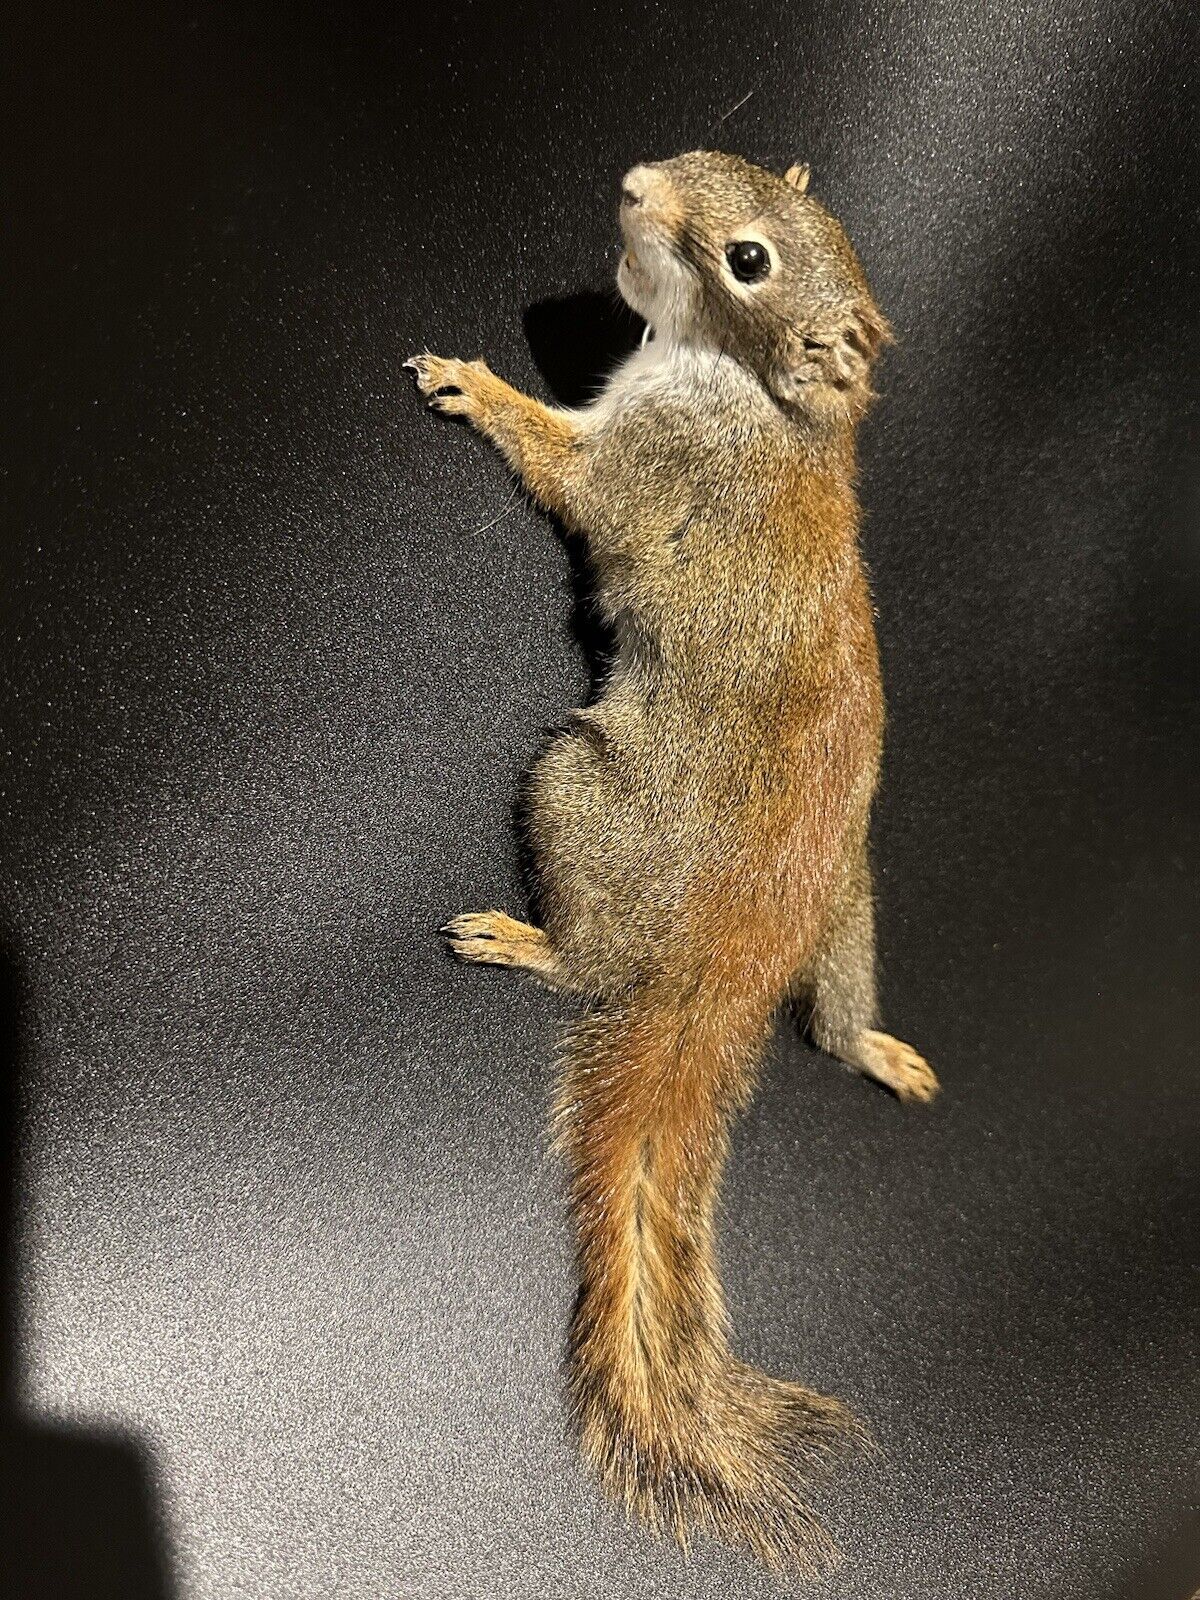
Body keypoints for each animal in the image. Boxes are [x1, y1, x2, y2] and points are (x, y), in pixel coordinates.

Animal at [406, 150, 939, 1578]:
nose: (638, 183)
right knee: (834, 1014)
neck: (772, 404)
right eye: (741, 165)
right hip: (848, 911)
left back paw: (527, 940)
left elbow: (576, 475)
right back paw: (876, 1048)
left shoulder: (660, 452)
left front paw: (479, 385)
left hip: (578, 793)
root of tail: (727, 960)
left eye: (749, 257)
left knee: (588, 962)